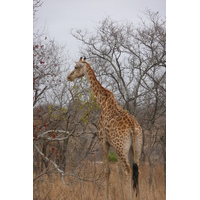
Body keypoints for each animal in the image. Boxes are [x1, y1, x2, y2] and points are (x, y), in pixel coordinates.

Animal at [68, 57, 143, 199]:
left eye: (76, 67)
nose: (69, 77)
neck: (102, 101)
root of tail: (132, 125)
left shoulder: (103, 141)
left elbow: (107, 170)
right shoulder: (116, 146)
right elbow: (118, 171)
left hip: (121, 146)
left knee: (128, 170)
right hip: (136, 147)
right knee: (136, 170)